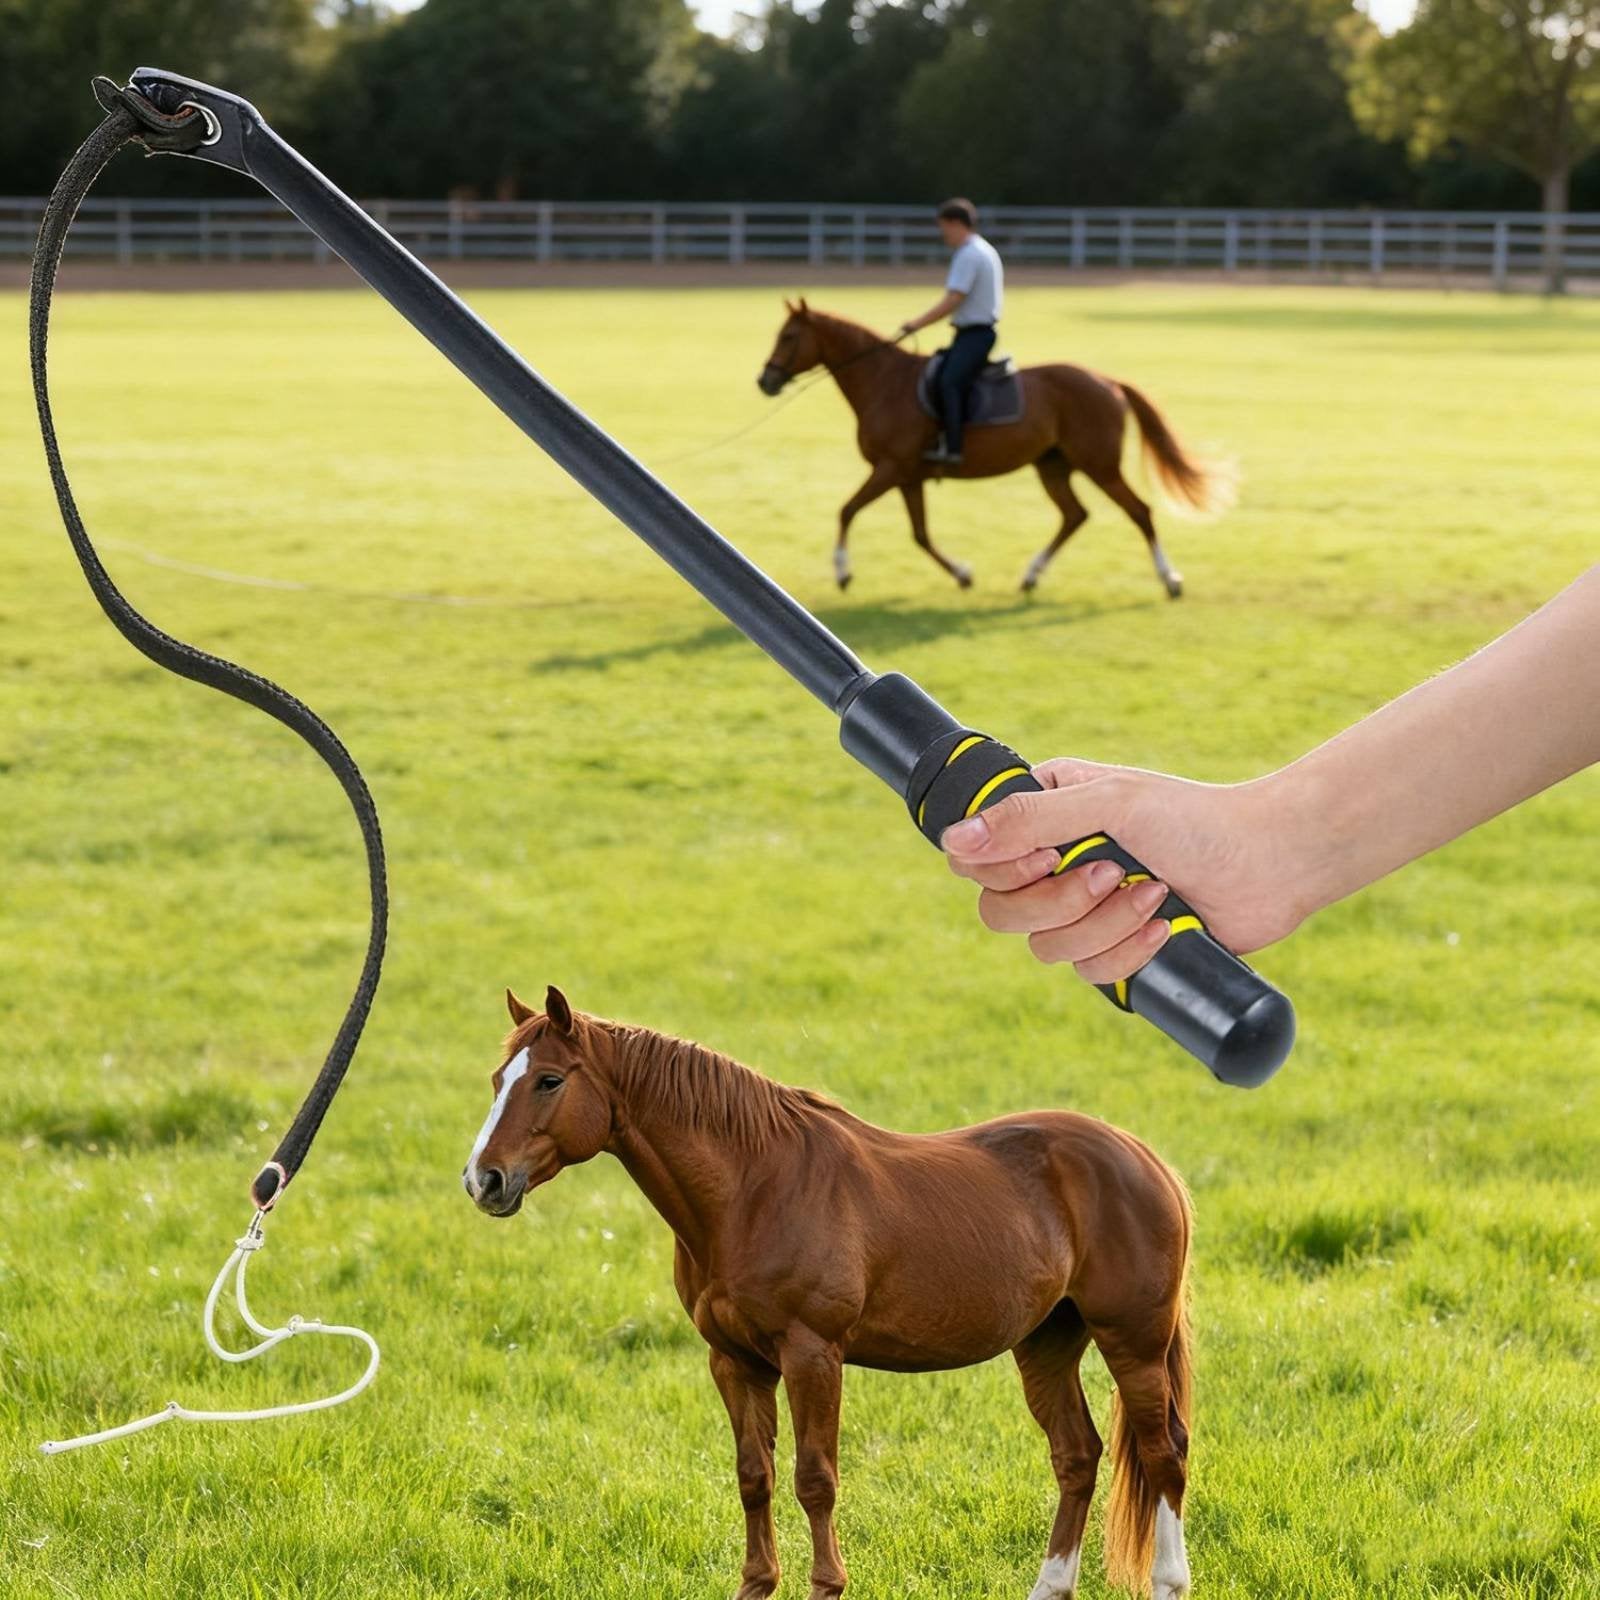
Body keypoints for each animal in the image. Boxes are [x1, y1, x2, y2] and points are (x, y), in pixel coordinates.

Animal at [463, 985, 1195, 1600]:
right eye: (499, 1080)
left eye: (550, 1080)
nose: (483, 1180)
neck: (754, 1188)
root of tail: (1143, 1158)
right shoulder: (735, 1361)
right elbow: (753, 1476)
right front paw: (756, 1585)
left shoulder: (813, 1355)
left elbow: (815, 1480)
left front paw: (826, 1585)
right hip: (1047, 1344)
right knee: (1077, 1456)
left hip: (1132, 1343)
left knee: (1164, 1454)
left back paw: (1169, 1580)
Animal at [757, 299, 1229, 598]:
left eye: (789, 336)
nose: (765, 380)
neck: (883, 383)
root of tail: (1108, 381)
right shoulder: (908, 477)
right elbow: (920, 534)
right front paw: (963, 574)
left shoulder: (889, 469)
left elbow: (847, 511)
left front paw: (842, 571)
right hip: (1053, 466)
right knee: (1074, 516)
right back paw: (1031, 577)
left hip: (1099, 466)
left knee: (1139, 512)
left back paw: (1170, 580)